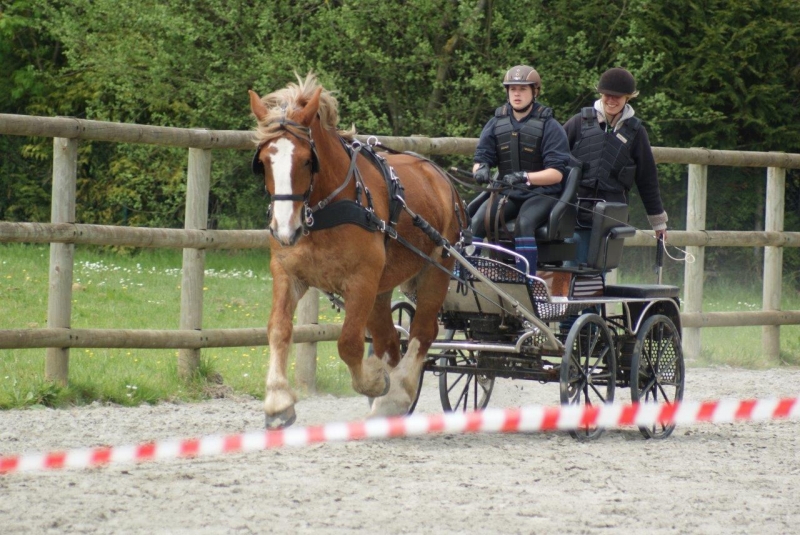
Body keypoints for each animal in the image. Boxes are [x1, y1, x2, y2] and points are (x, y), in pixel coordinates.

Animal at [247, 74, 466, 428]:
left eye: (307, 160)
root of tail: (440, 176)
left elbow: (348, 343)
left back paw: (395, 396)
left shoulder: (361, 281)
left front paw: (375, 381)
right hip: (382, 287)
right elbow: (279, 330)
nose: (284, 229)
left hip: (435, 269)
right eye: (264, 161)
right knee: (390, 340)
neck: (326, 209)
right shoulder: (287, 273)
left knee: (422, 332)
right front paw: (278, 401)